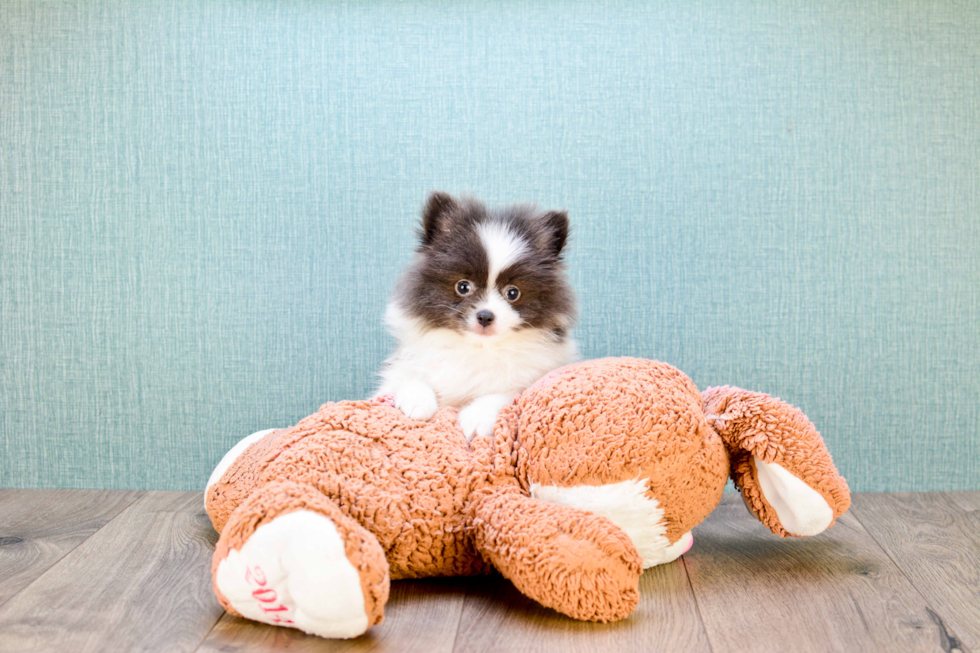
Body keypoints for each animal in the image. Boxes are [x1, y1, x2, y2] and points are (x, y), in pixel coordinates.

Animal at [374, 191, 576, 440]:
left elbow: (503, 395)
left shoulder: (527, 380)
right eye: (463, 287)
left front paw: (477, 418)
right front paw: (417, 402)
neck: (478, 347)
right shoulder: (403, 368)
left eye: (513, 293)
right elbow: (407, 377)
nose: (485, 316)